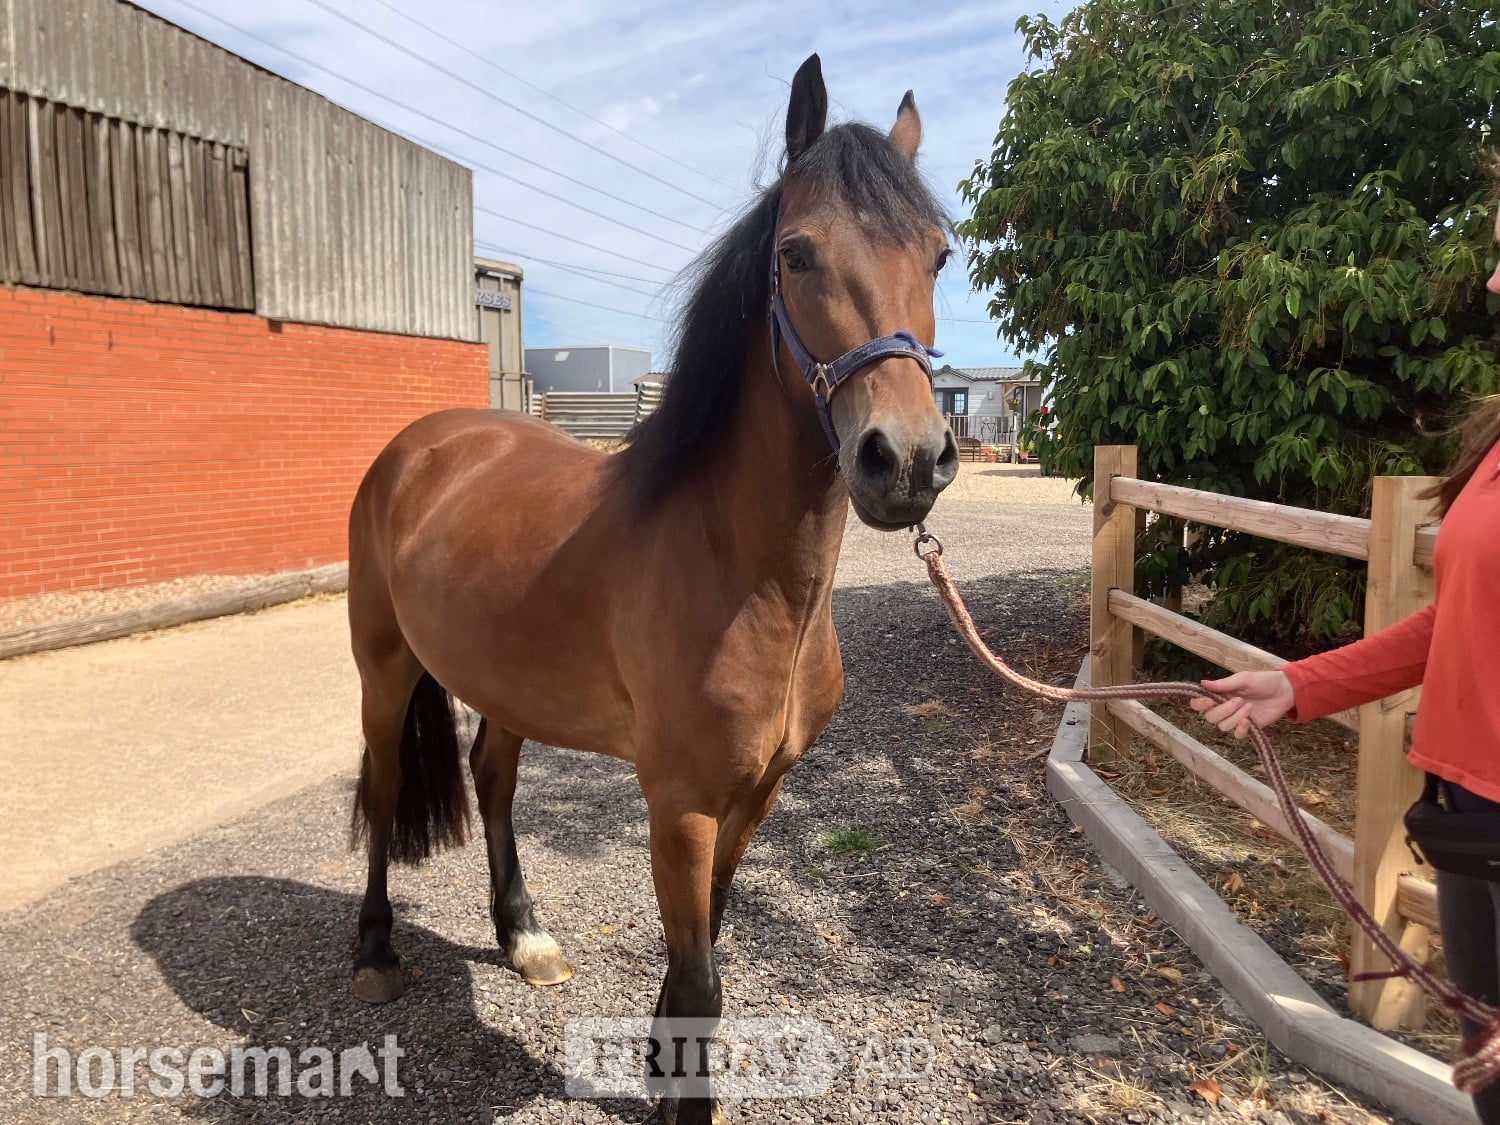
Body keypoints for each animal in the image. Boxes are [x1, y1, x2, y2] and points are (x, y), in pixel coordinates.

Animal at [345, 54, 957, 1123]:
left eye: (939, 257)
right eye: (796, 254)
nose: (909, 460)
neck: (740, 573)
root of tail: (418, 445)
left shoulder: (753, 796)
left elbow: (699, 955)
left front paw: (663, 1075)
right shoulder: (679, 802)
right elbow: (703, 981)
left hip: (507, 684)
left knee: (493, 778)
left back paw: (524, 936)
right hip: (384, 668)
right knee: (383, 791)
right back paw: (376, 951)